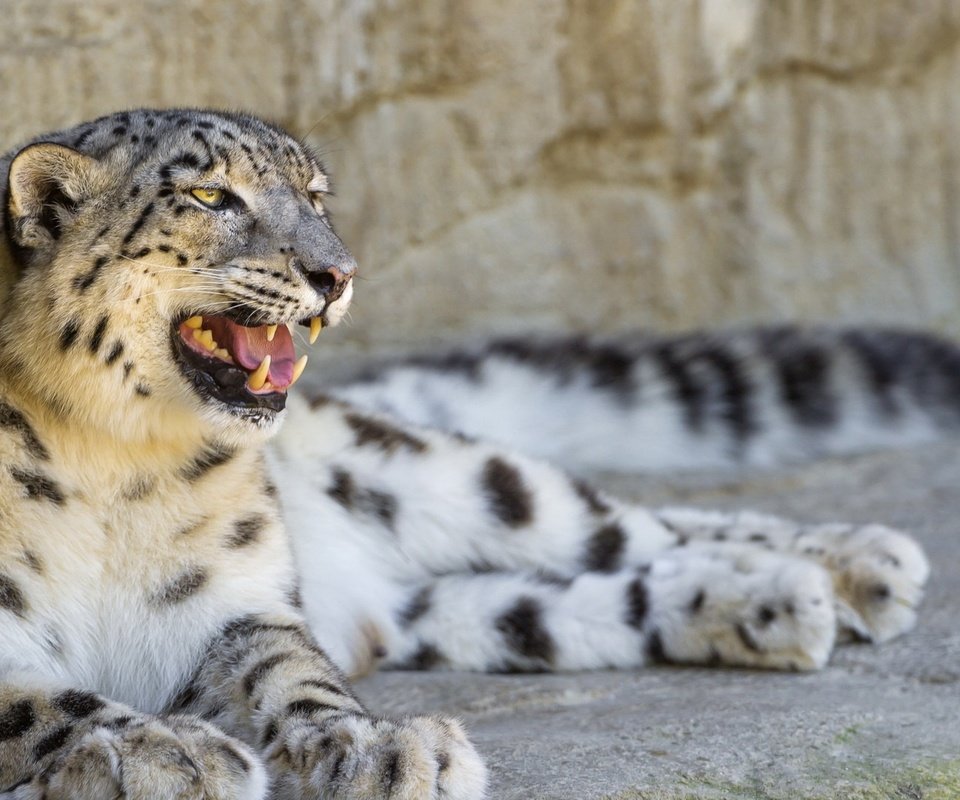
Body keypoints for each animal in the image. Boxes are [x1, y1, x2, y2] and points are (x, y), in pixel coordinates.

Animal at [0, 108, 944, 800]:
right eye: (209, 194)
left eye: (315, 194)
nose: (337, 272)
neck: (119, 466)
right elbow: (38, 701)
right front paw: (164, 754)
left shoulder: (240, 604)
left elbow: (293, 677)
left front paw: (377, 746)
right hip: (447, 607)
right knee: (573, 600)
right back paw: (775, 603)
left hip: (455, 480)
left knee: (636, 525)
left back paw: (860, 566)